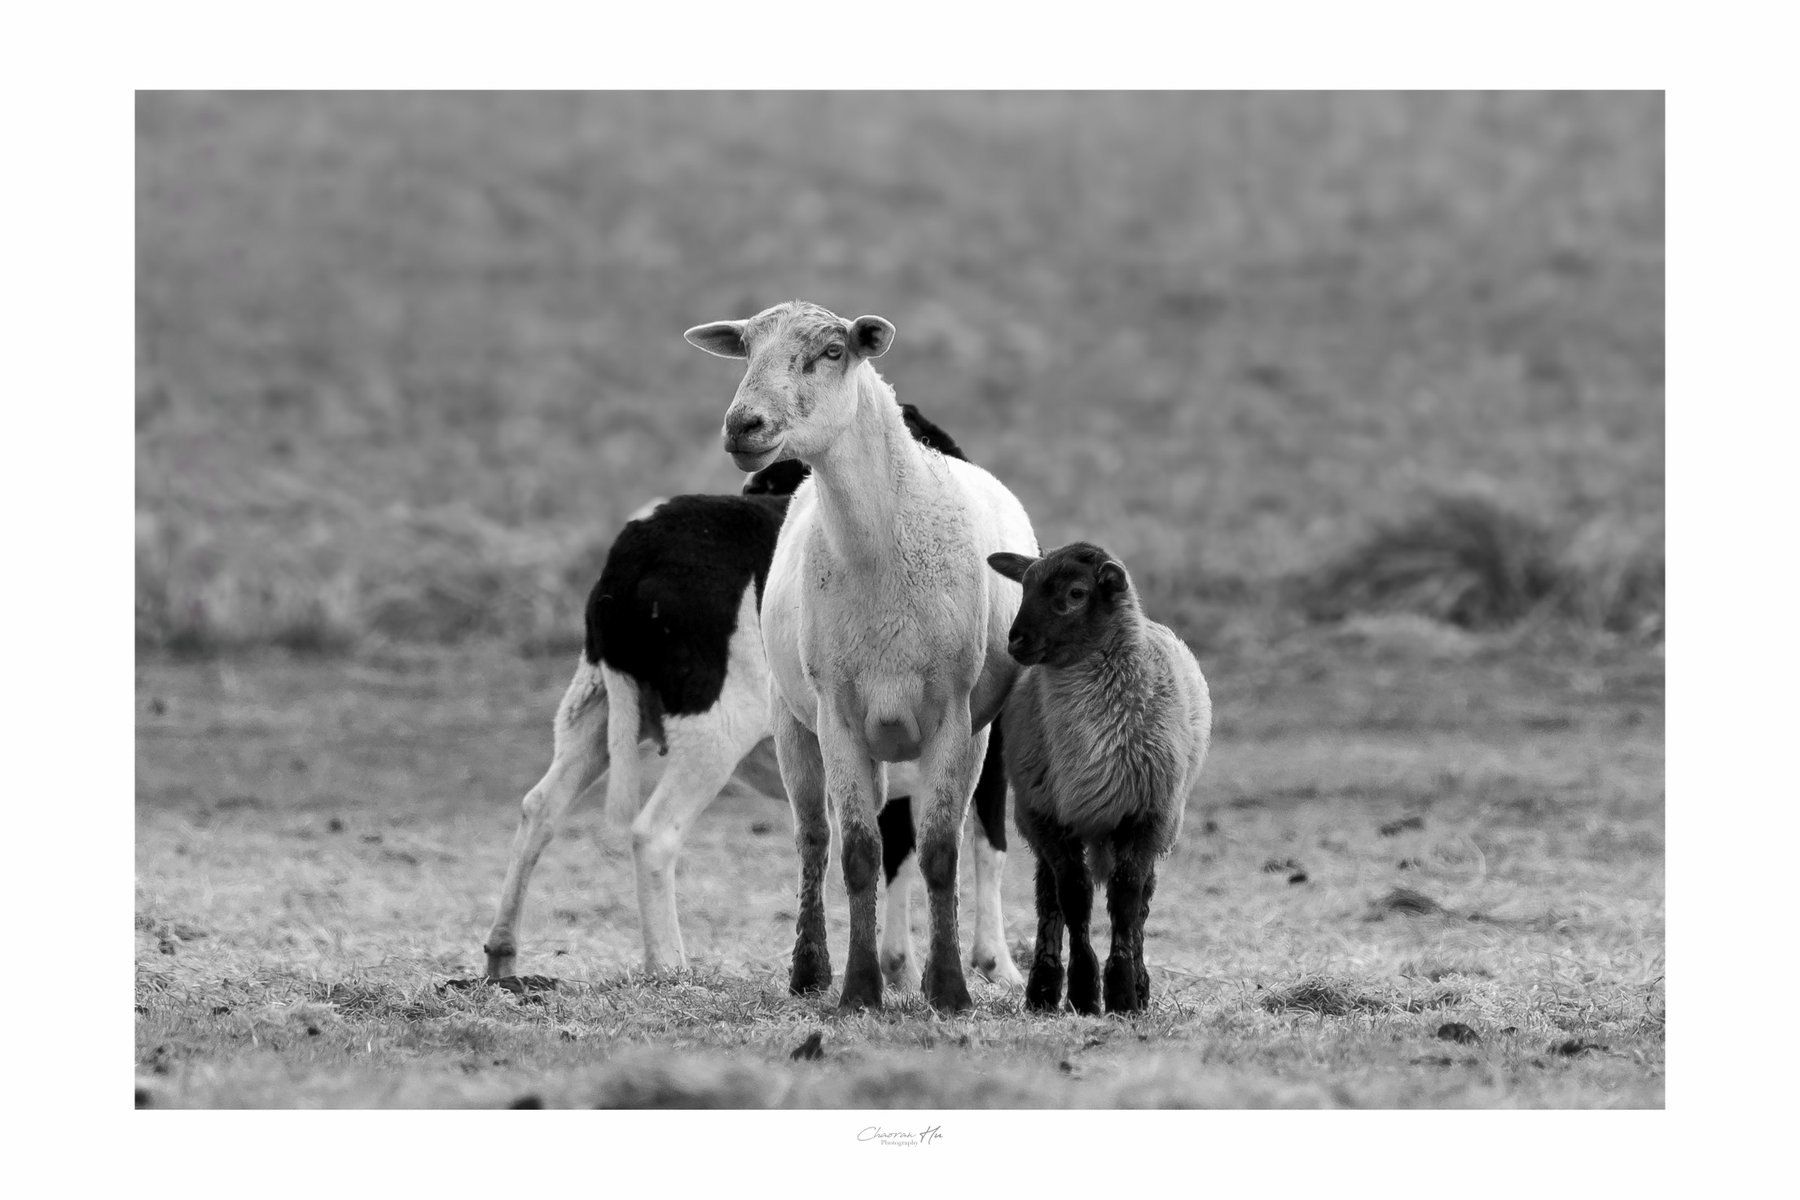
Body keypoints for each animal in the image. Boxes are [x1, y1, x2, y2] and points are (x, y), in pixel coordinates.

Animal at [480, 404, 1023, 990]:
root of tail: (635, 552)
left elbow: (897, 850)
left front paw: (899, 967)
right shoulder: (983, 743)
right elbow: (988, 844)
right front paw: (996, 964)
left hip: (594, 708)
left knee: (540, 809)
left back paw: (502, 956)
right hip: (712, 727)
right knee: (654, 832)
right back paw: (669, 965)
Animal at [684, 300, 1036, 1013]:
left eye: (831, 352)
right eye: (747, 350)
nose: (743, 425)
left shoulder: (956, 717)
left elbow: (938, 850)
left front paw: (948, 989)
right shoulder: (839, 716)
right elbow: (857, 854)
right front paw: (859, 990)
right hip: (796, 719)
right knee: (816, 838)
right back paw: (812, 969)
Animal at [986, 541, 1212, 1015]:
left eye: (1076, 593)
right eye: (1025, 585)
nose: (1016, 640)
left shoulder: (1148, 815)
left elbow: (1127, 901)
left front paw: (1124, 991)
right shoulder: (1047, 816)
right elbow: (1074, 896)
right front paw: (1084, 991)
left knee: (1142, 897)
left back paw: (1139, 986)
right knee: (1048, 896)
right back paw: (1043, 989)